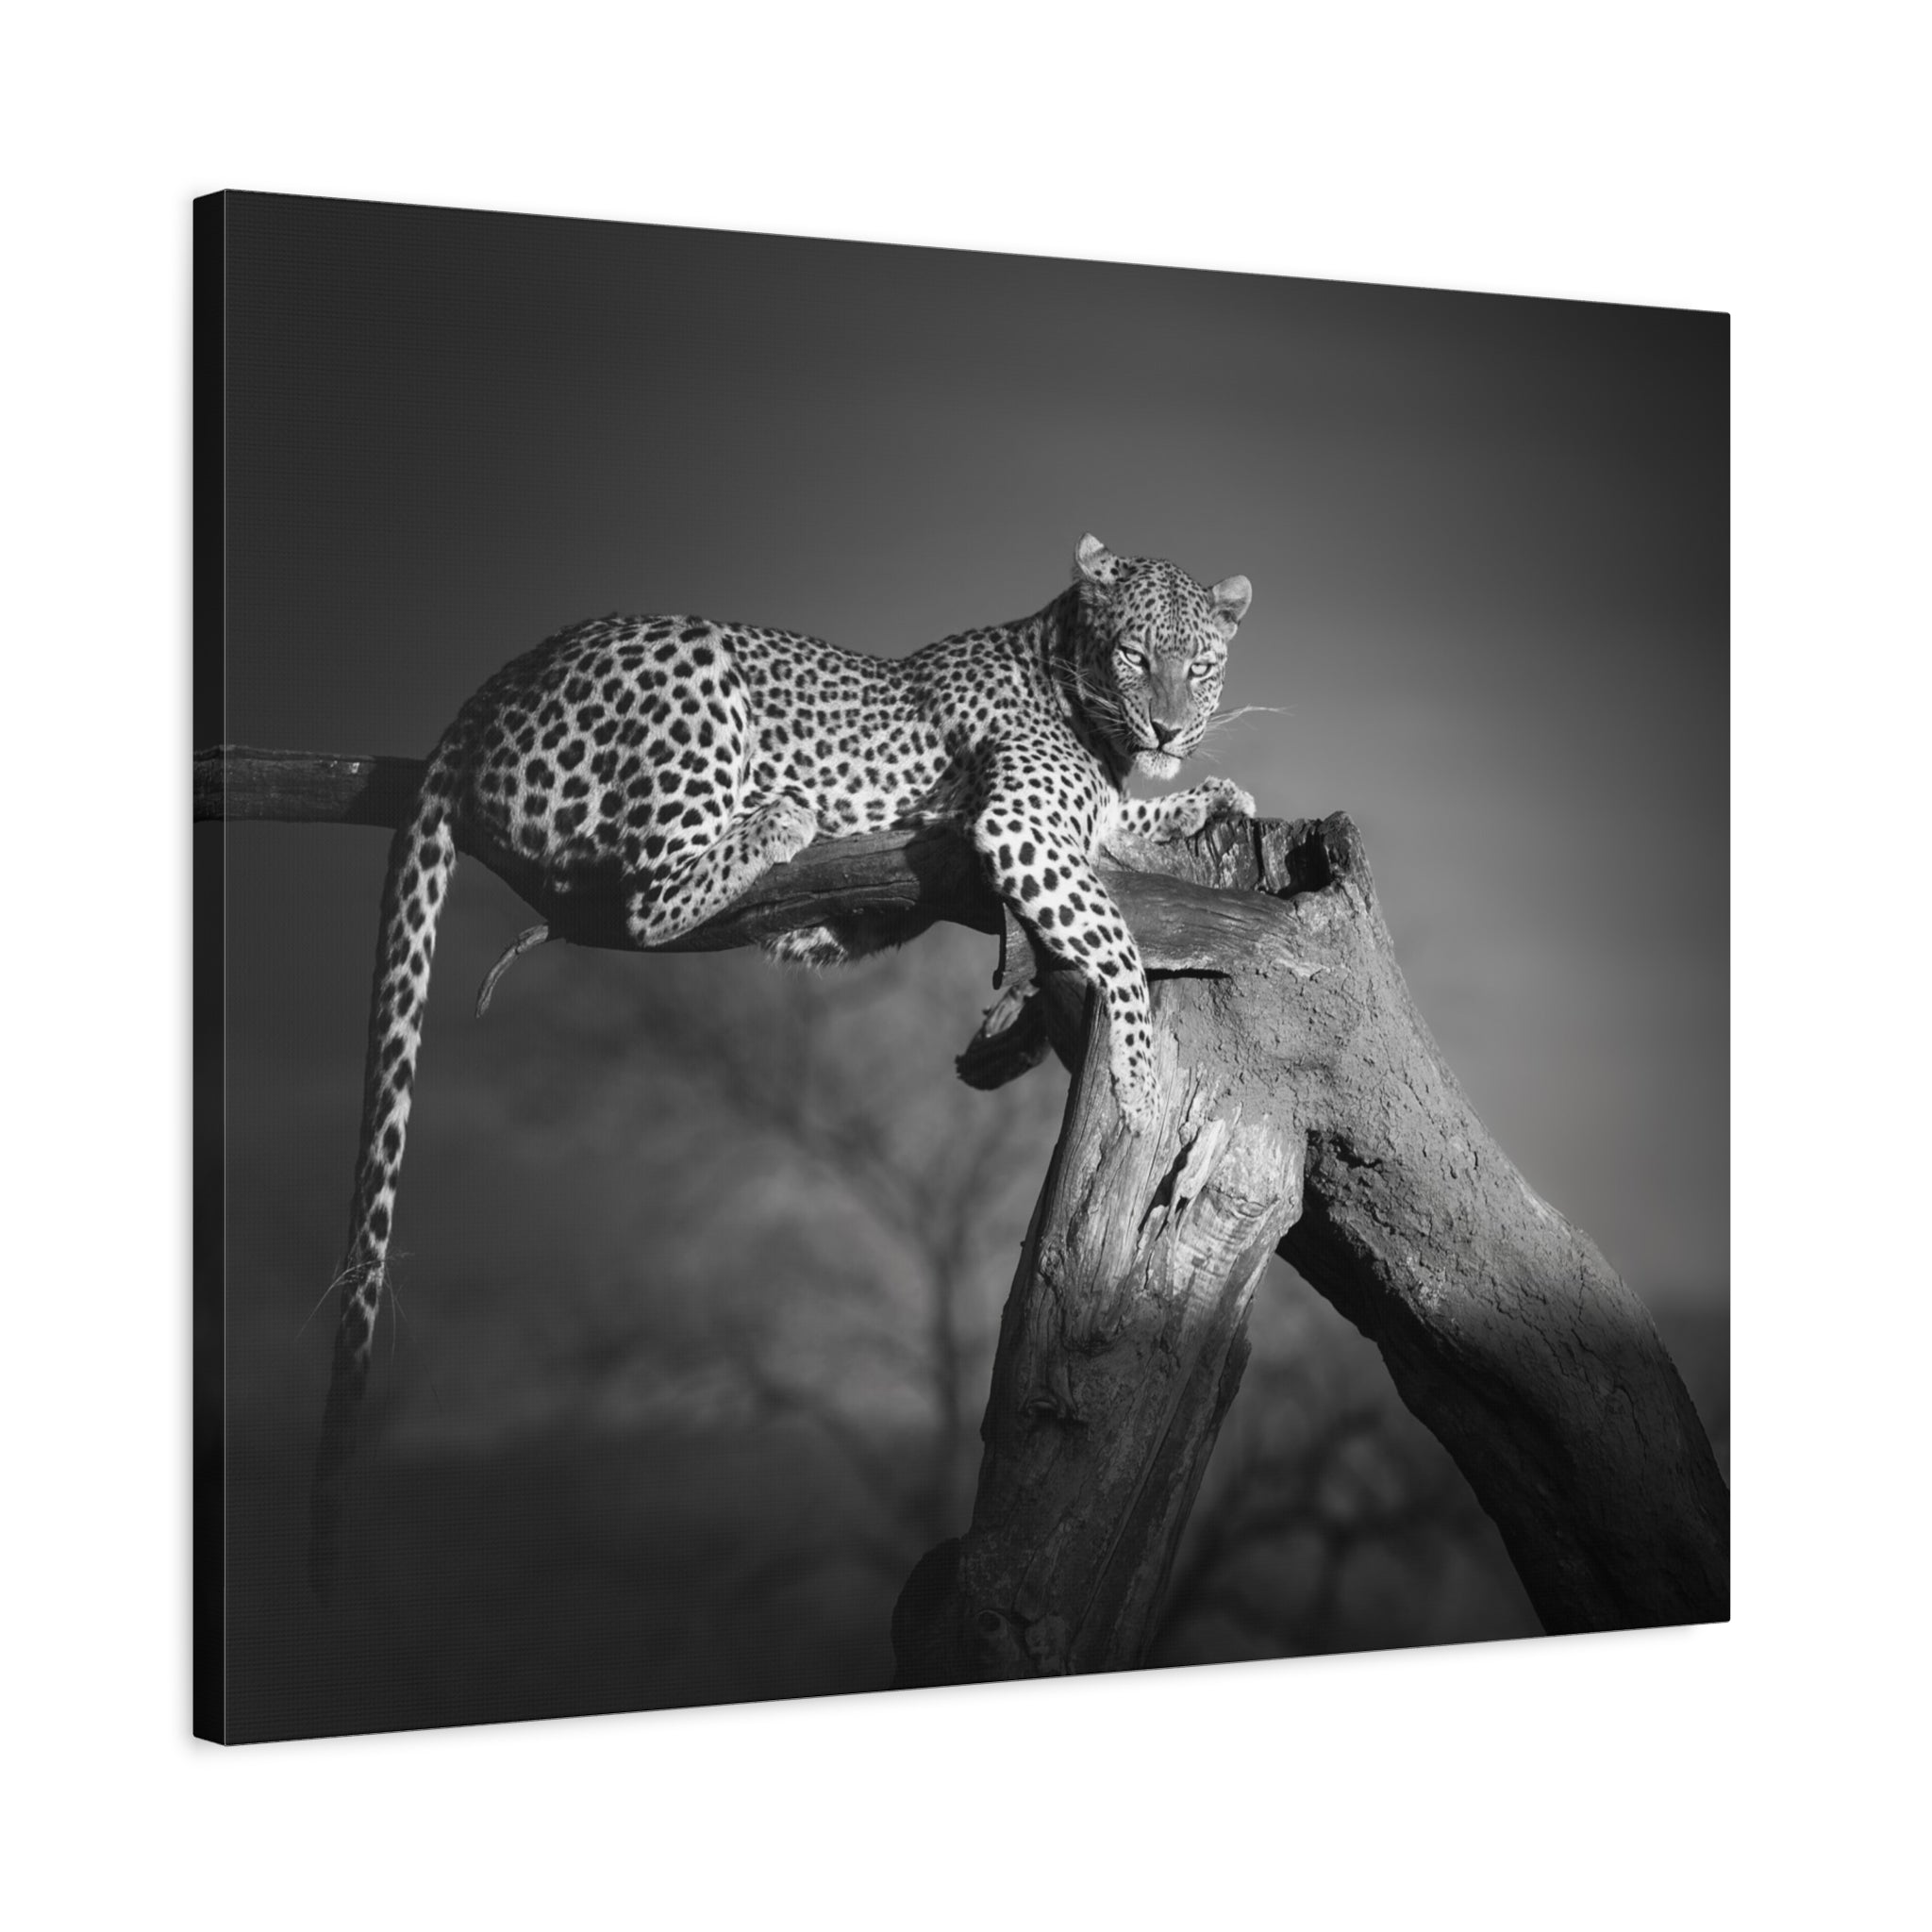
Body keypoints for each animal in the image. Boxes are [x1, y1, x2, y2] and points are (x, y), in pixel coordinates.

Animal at [307, 532, 1254, 1594]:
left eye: (1200, 665)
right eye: (1134, 655)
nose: (1169, 724)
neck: (1077, 690)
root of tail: (488, 690)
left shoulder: (1067, 828)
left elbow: (1128, 829)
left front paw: (1210, 795)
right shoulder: (1020, 826)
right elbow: (1118, 942)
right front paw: (1135, 1072)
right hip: (692, 686)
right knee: (642, 900)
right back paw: (780, 819)